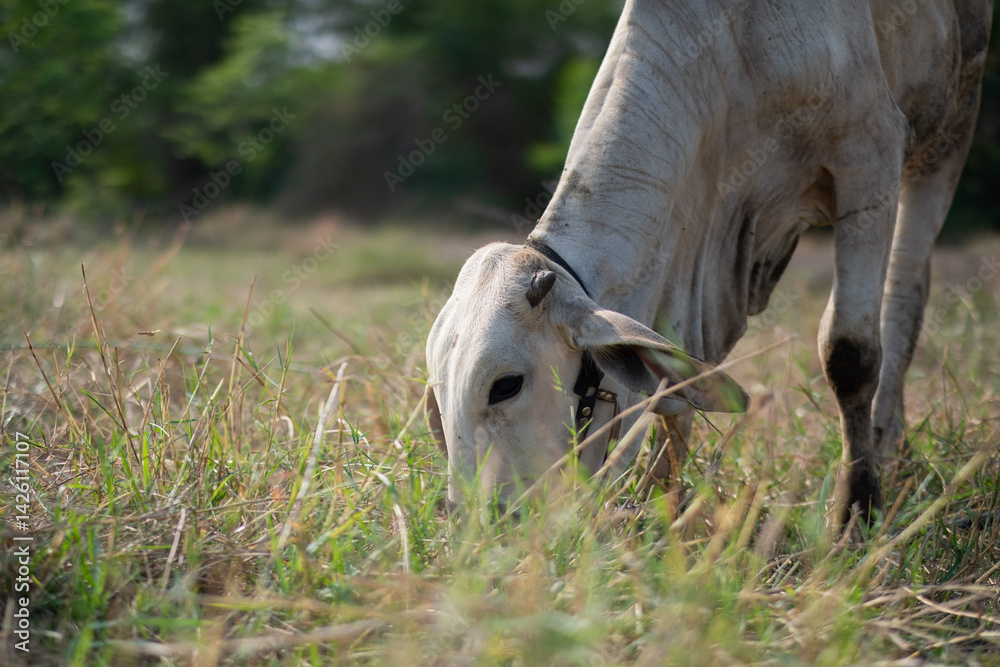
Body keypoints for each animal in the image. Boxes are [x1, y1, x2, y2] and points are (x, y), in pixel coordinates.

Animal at [425, 0, 993, 524]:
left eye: (506, 386)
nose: (472, 525)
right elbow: (678, 385)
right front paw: (661, 509)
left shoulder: (869, 156)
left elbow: (849, 353)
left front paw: (857, 510)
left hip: (949, 129)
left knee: (903, 299)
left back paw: (885, 450)